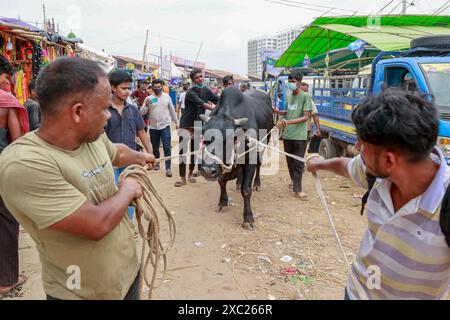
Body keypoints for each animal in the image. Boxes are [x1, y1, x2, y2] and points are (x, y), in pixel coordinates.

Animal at [200, 87, 274, 230]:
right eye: (204, 134)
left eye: (230, 138)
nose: (207, 170)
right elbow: (221, 181)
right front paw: (223, 202)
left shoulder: (250, 159)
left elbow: (246, 190)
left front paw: (248, 218)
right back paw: (238, 181)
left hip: (264, 141)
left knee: (259, 164)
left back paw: (257, 184)